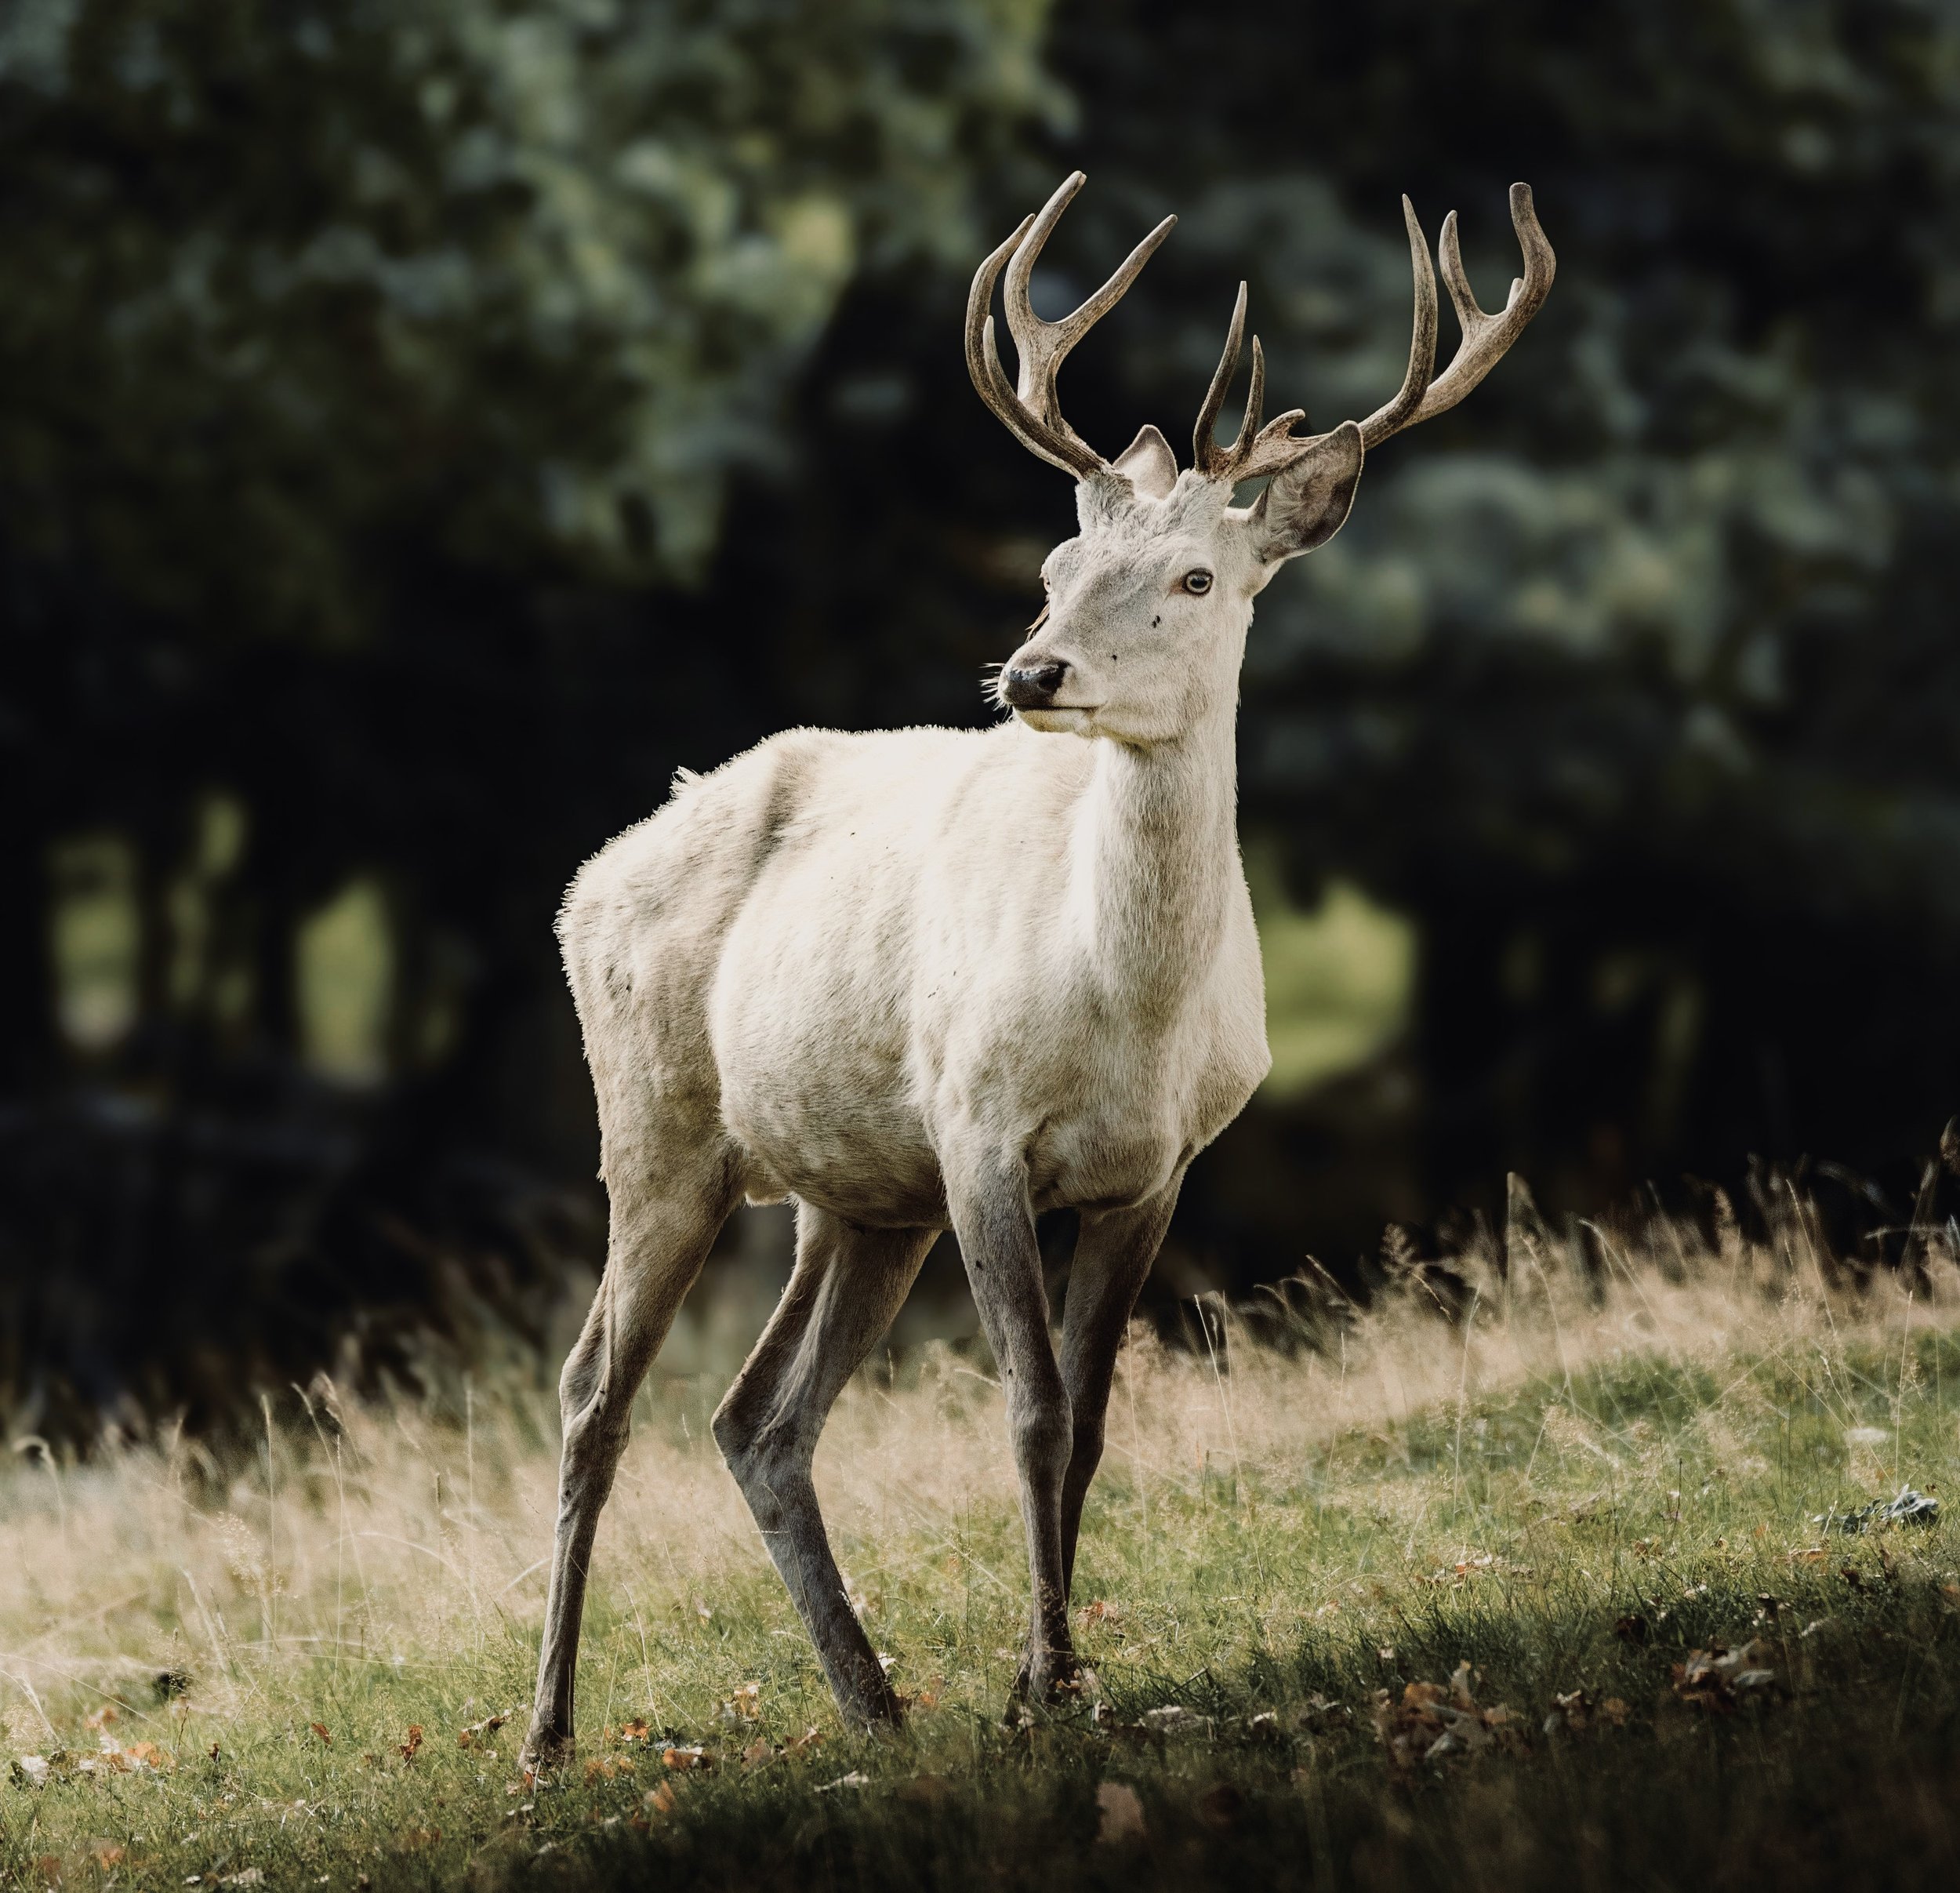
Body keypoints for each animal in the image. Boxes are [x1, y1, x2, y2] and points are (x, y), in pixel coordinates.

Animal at [520, 172, 1553, 1770]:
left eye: (1197, 573)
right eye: (1059, 566)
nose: (1031, 673)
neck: (1126, 1014)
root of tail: (587, 881)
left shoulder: (1160, 1167)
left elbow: (1098, 1418)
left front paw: (1045, 1674)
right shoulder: (978, 1128)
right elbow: (1033, 1410)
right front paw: (1051, 1679)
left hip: (855, 1192)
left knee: (759, 1416)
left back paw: (874, 1698)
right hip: (659, 1125)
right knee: (590, 1393)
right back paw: (550, 1729)